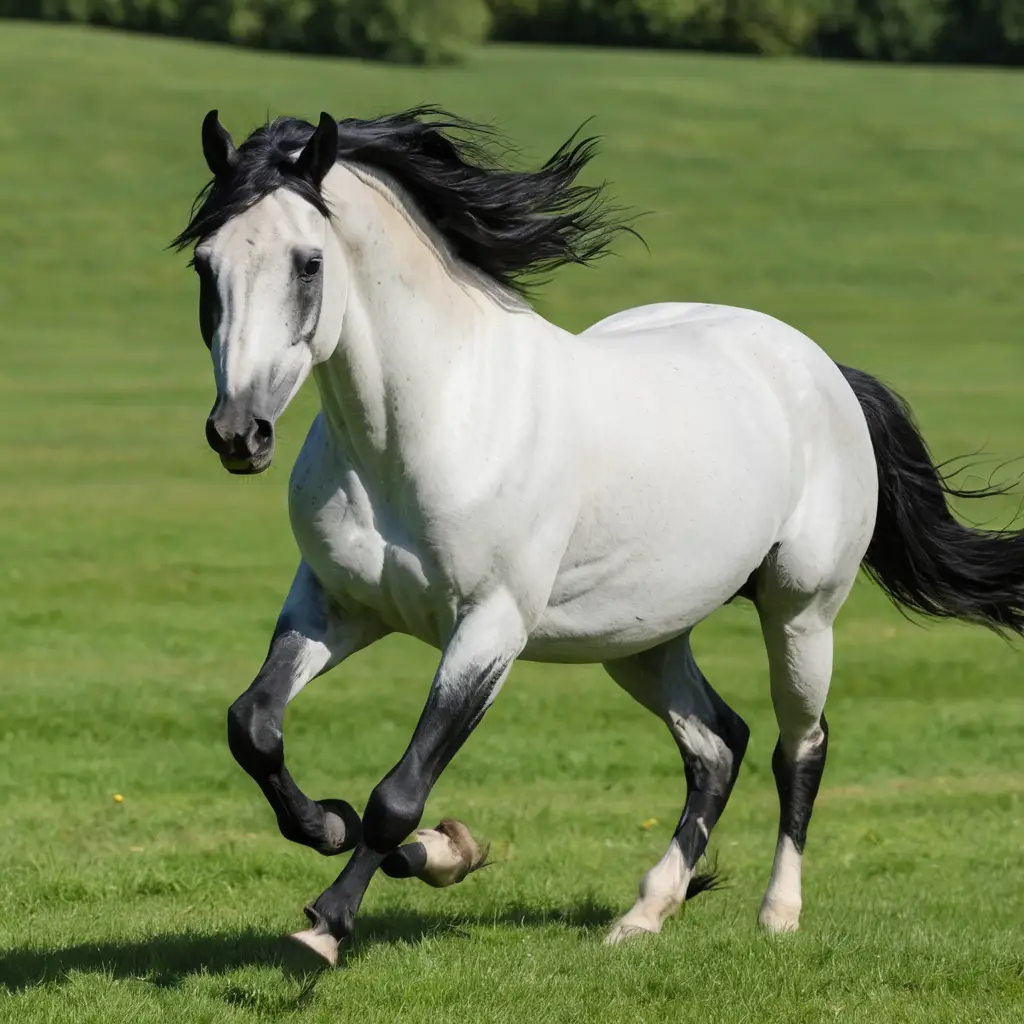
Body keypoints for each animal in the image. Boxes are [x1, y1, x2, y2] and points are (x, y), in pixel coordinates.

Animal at [173, 107, 1024, 967]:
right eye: (206, 266)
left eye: (308, 264)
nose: (238, 433)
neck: (434, 424)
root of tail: (823, 369)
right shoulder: (335, 606)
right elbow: (254, 726)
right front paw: (355, 829)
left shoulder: (489, 629)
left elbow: (398, 794)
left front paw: (331, 920)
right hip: (641, 636)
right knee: (717, 744)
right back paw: (645, 911)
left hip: (800, 614)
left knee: (799, 747)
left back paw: (777, 913)